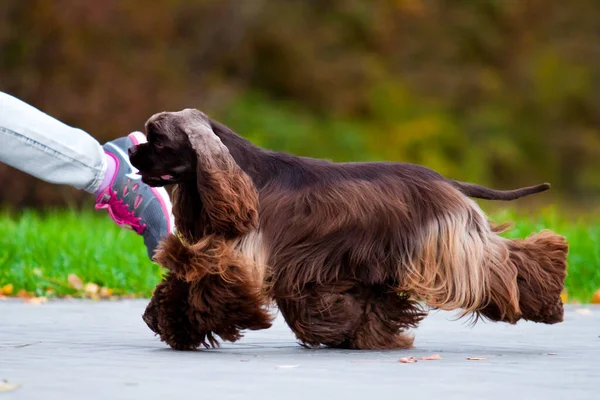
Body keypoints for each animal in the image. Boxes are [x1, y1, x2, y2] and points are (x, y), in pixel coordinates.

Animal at [129, 108, 568, 350]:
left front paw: (176, 323)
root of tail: (445, 180)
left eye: (158, 139)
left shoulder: (239, 258)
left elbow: (206, 288)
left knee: (507, 263)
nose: (132, 150)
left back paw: (549, 303)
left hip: (450, 249)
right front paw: (161, 319)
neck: (242, 175)